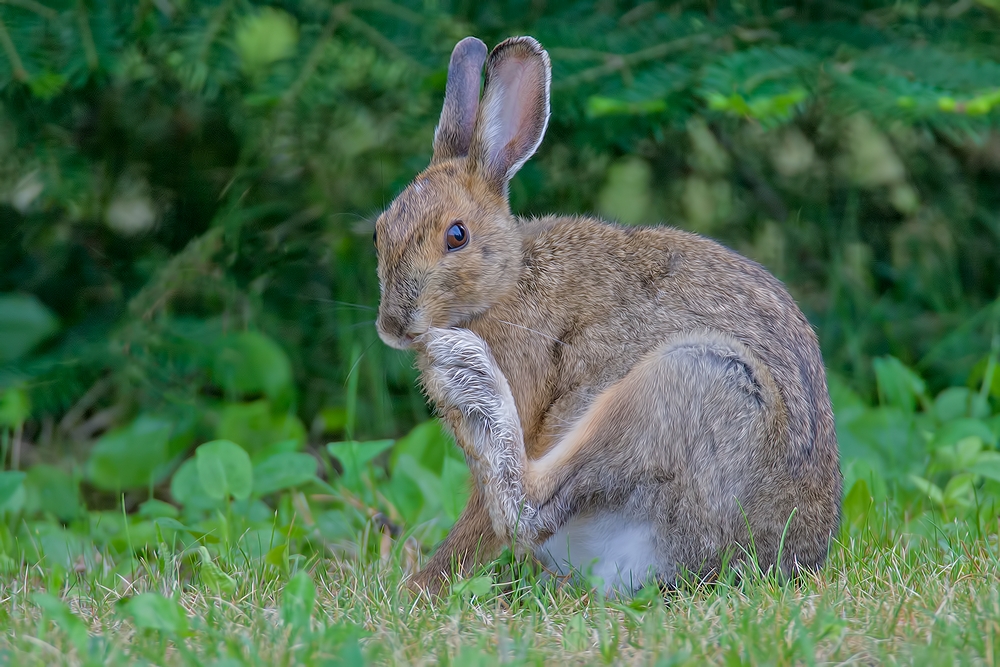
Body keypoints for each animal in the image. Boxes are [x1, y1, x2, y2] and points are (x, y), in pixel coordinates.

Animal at [376, 35, 844, 596]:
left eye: (456, 236)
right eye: (380, 230)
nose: (392, 327)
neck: (505, 283)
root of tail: (784, 558)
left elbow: (483, 522)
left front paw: (422, 586)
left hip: (694, 382)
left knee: (528, 508)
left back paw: (467, 375)